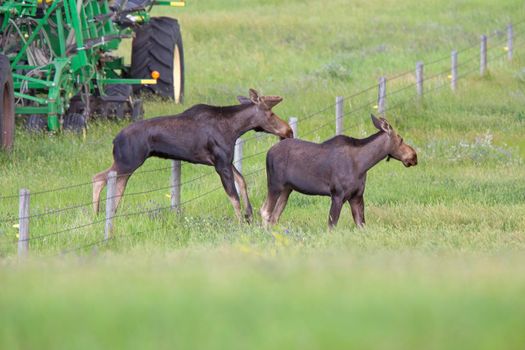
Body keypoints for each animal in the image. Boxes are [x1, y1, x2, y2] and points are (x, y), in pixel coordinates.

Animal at [92, 89, 292, 220]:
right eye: (271, 113)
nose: (288, 131)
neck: (236, 128)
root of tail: (115, 140)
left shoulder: (225, 161)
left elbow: (242, 181)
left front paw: (249, 214)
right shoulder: (221, 164)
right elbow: (233, 196)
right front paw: (241, 221)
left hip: (126, 165)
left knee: (115, 186)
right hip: (127, 161)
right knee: (99, 177)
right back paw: (97, 214)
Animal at [260, 115, 416, 230]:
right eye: (401, 139)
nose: (414, 156)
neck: (364, 164)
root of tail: (268, 153)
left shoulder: (357, 197)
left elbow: (361, 226)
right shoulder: (337, 195)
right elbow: (331, 226)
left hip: (287, 189)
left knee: (274, 216)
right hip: (275, 185)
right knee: (265, 211)